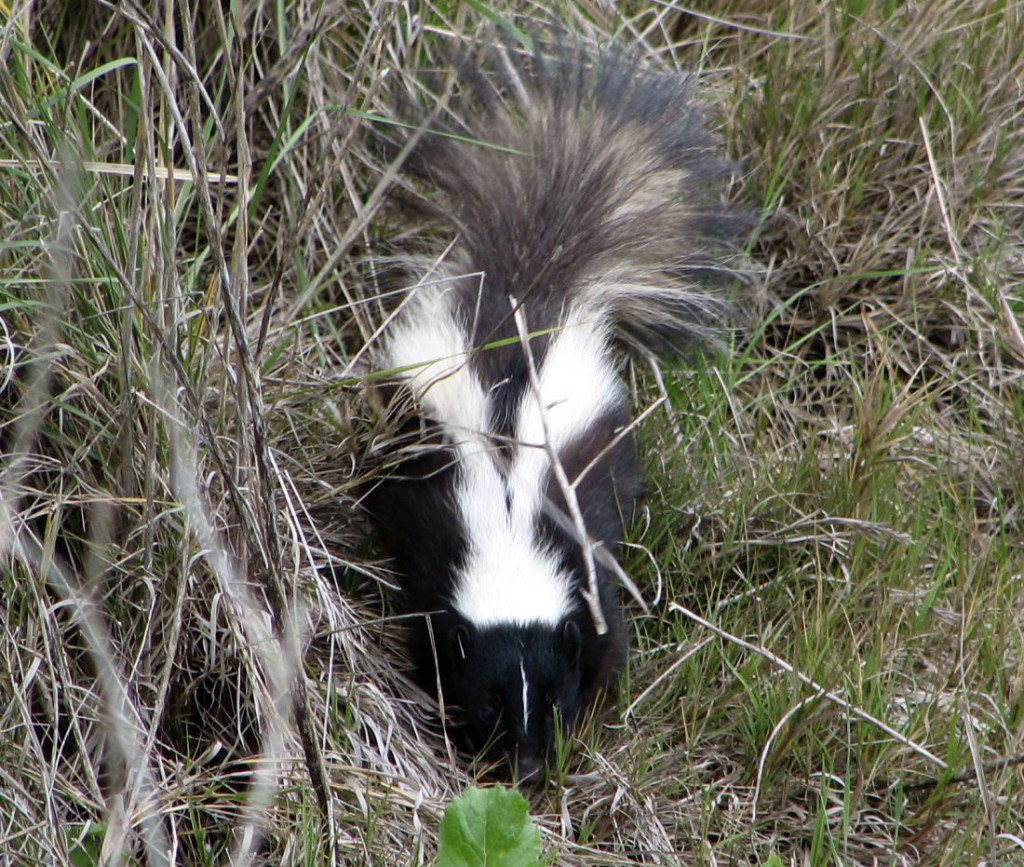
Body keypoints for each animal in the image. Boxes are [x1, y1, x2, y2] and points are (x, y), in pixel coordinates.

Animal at [364, 35, 749, 777]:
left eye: (554, 695)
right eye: (488, 702)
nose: (530, 768)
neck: (511, 528)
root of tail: (528, 280)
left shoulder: (583, 561)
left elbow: (608, 633)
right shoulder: (439, 548)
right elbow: (425, 627)